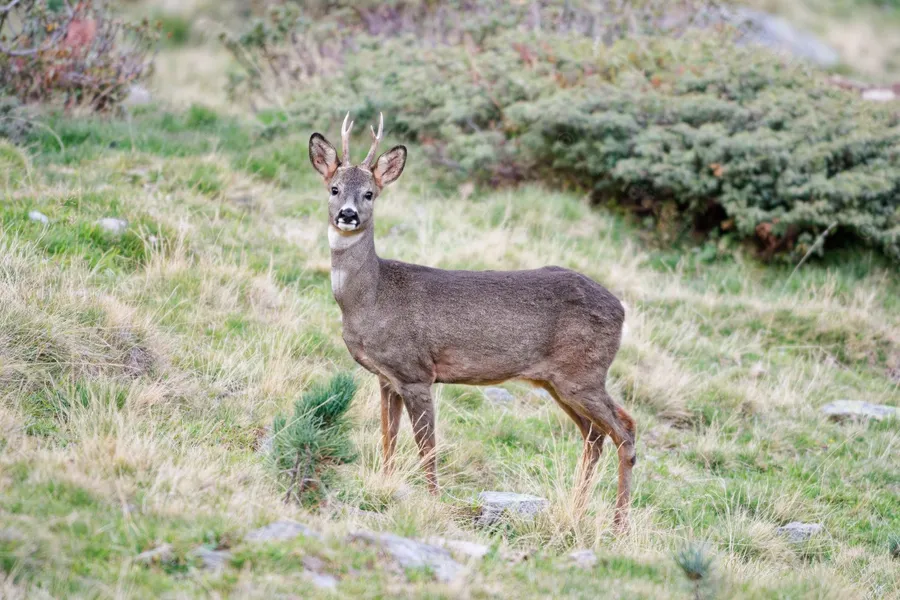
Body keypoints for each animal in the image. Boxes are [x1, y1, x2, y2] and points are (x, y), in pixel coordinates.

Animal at [308, 113, 636, 531]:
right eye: (334, 188)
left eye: (369, 194)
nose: (347, 215)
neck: (371, 299)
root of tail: (621, 310)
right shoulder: (386, 377)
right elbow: (388, 437)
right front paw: (383, 485)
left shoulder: (416, 371)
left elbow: (427, 446)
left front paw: (432, 501)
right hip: (557, 381)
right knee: (594, 435)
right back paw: (577, 511)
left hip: (584, 373)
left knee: (625, 430)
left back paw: (618, 525)